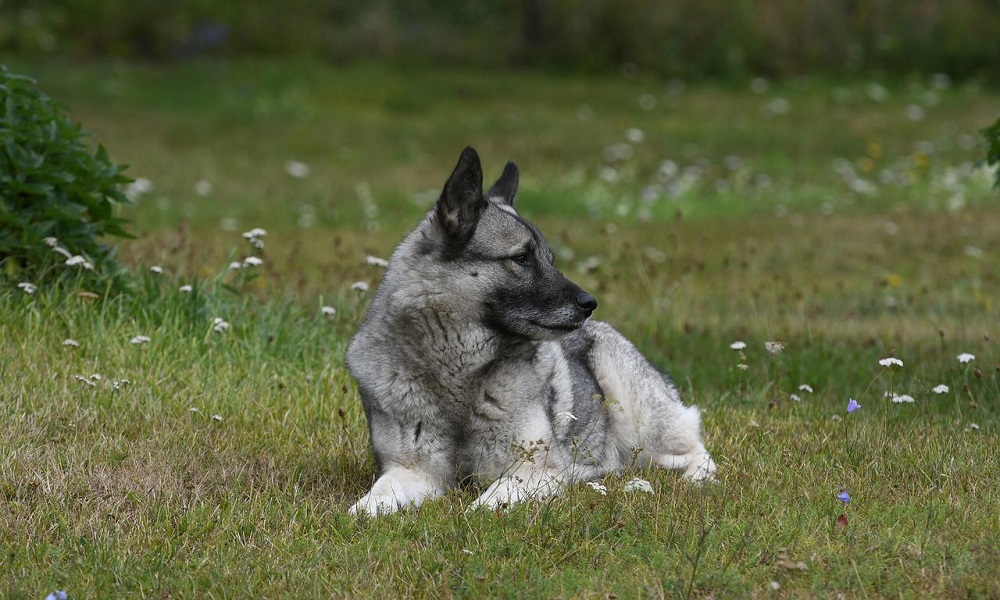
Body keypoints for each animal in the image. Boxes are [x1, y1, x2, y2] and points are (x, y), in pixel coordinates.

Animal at [348, 146, 716, 516]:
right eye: (522, 258)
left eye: (548, 259)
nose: (590, 303)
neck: (459, 375)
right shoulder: (412, 471)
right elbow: (367, 506)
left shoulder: (533, 471)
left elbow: (484, 505)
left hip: (638, 416)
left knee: (695, 452)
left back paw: (694, 479)